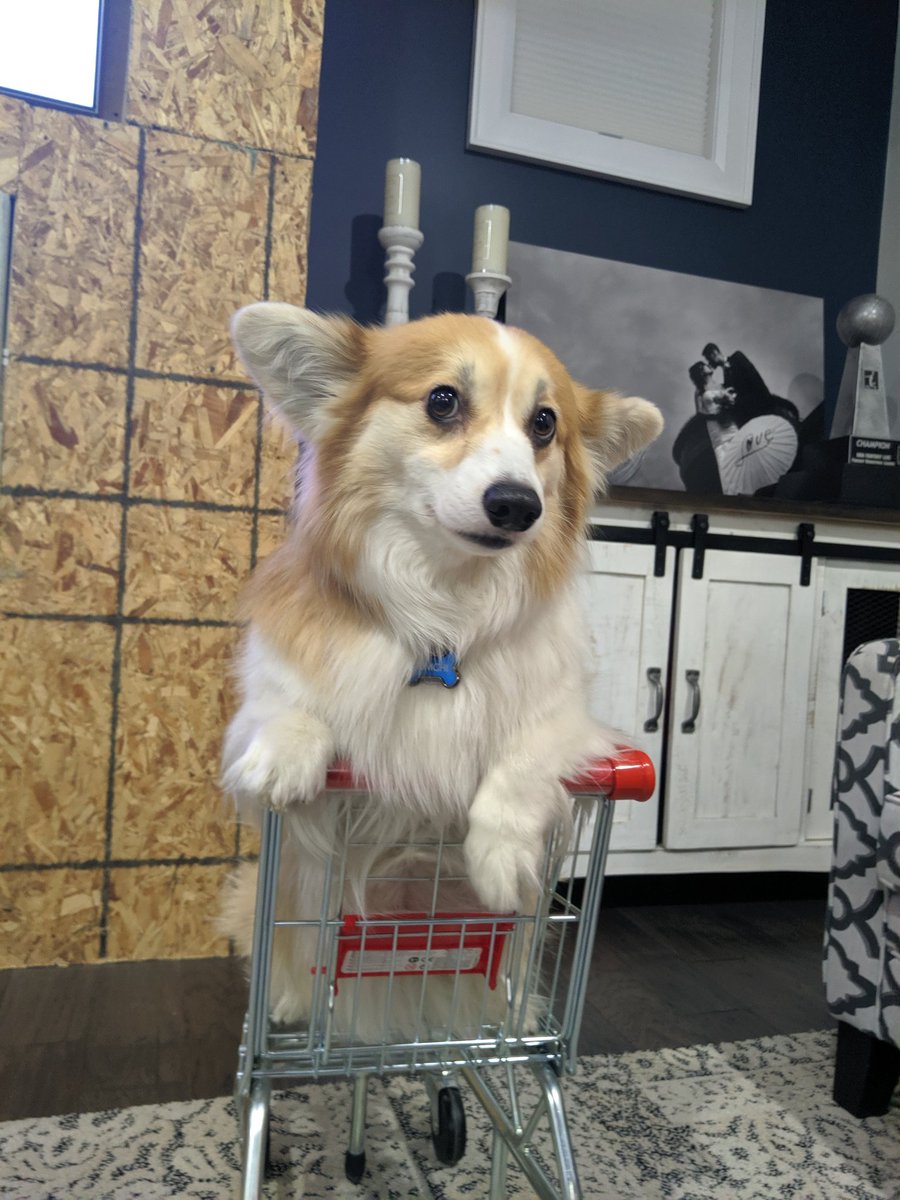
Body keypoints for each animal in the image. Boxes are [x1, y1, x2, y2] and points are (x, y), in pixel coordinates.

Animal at [223, 309, 667, 1032]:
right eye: (442, 400)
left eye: (544, 423)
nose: (518, 504)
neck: (447, 612)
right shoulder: (270, 687)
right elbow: (286, 704)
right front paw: (283, 758)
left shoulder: (572, 723)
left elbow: (522, 760)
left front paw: (501, 858)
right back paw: (290, 1003)